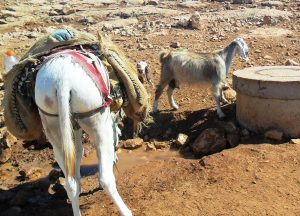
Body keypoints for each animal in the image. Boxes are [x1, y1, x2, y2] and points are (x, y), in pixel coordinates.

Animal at [34, 51, 132, 216]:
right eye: (119, 135)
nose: (116, 159)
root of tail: (62, 80)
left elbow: (78, 152)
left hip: (52, 121)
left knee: (71, 183)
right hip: (96, 121)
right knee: (105, 179)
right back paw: (126, 211)